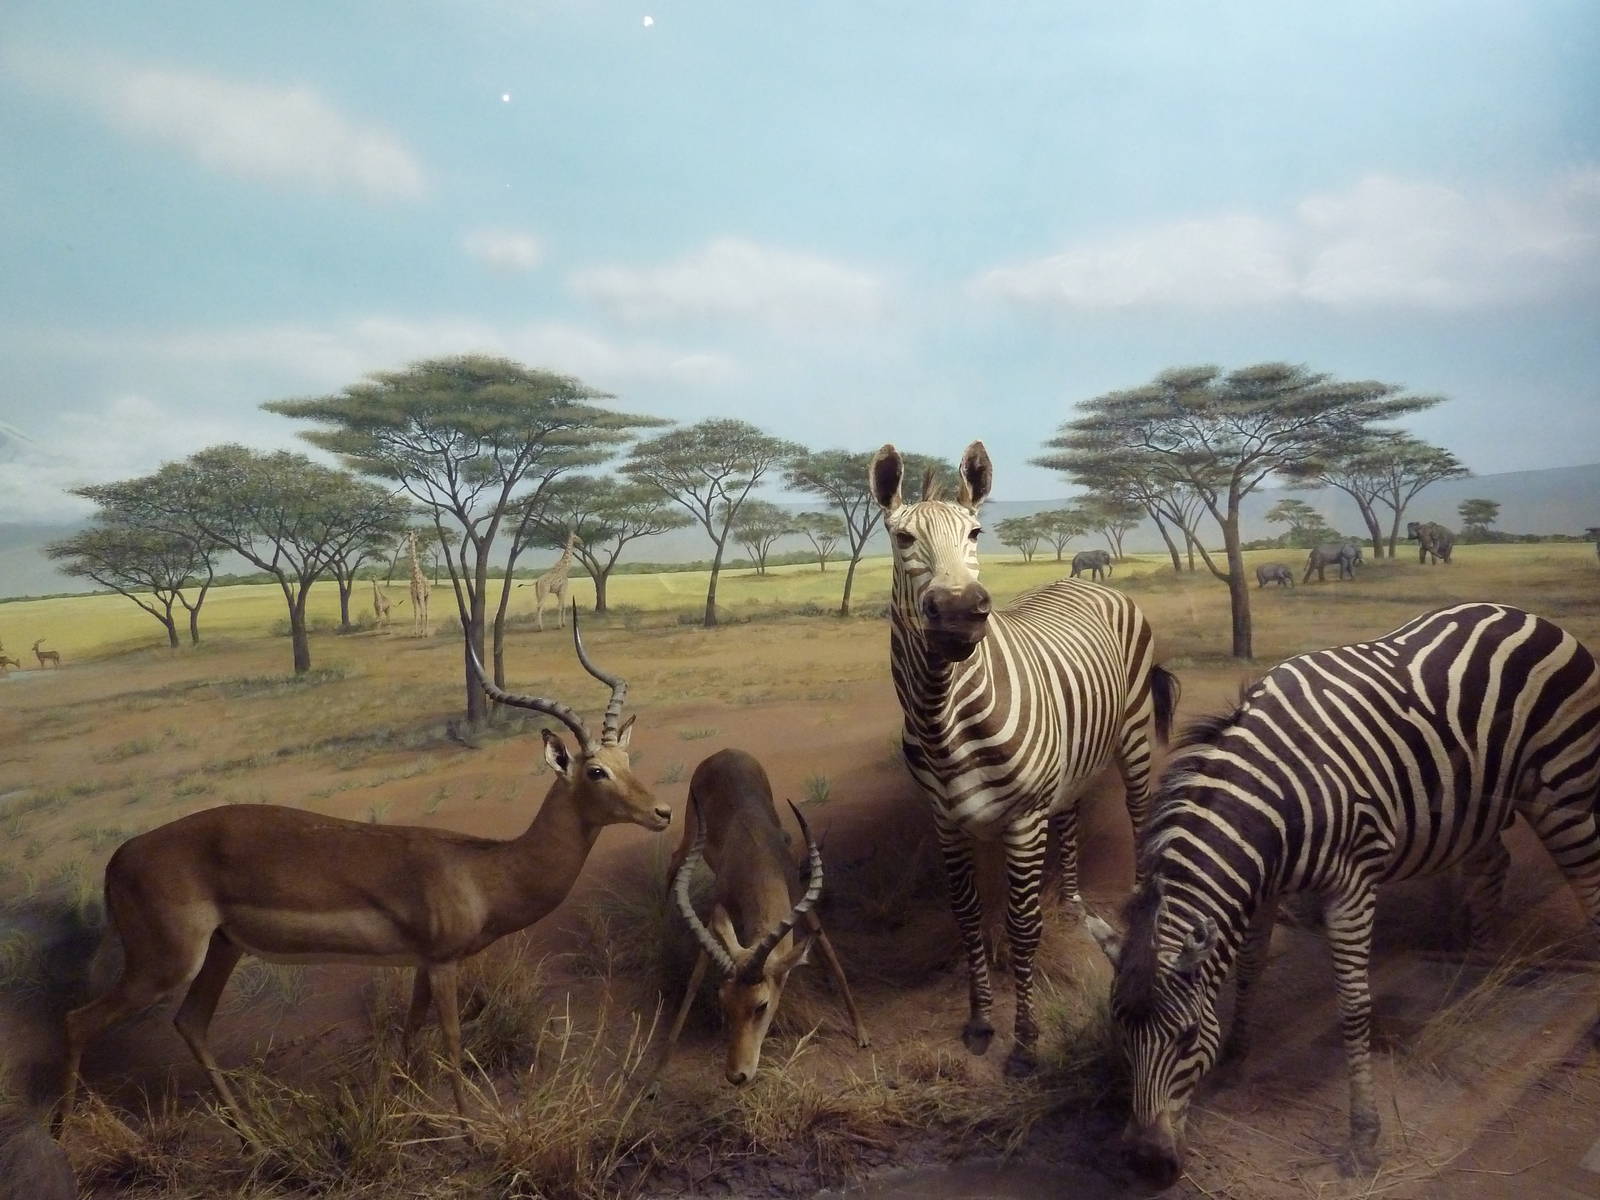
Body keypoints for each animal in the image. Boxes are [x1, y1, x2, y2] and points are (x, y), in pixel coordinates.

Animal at [59, 610, 668, 1132]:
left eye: (626, 760)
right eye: (595, 771)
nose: (662, 812)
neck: (485, 870)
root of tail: (119, 856)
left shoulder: (421, 964)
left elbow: (410, 1029)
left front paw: (397, 1108)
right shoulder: (443, 963)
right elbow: (451, 1040)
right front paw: (469, 1132)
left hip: (222, 951)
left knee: (190, 1021)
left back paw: (251, 1133)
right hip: (164, 964)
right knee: (78, 1021)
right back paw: (70, 1134)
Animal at [652, 748, 868, 1090]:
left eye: (761, 1005)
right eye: (724, 1002)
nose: (736, 1075)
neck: (757, 857)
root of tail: (725, 752)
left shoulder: (800, 896)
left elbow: (825, 945)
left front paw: (860, 1032)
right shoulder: (717, 914)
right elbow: (694, 980)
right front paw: (656, 1073)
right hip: (690, 831)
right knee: (675, 859)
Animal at [869, 441, 1179, 1075]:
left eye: (976, 534)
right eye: (903, 538)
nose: (960, 611)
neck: (942, 719)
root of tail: (1087, 584)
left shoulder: (1022, 820)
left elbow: (1022, 924)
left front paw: (1027, 1040)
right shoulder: (947, 822)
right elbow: (968, 919)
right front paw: (981, 1021)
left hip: (1133, 735)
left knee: (1139, 815)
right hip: (1067, 769)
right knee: (1072, 821)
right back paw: (1074, 907)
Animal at [1086, 602, 1600, 1185]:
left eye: (1188, 1037)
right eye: (1120, 1031)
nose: (1147, 1164)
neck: (1277, 797)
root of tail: (1527, 615)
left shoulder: (1351, 887)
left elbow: (1354, 1007)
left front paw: (1364, 1138)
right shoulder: (1262, 886)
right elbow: (1250, 967)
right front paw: (1237, 1057)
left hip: (1562, 791)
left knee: (1588, 881)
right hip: (1476, 806)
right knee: (1494, 864)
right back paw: (1480, 967)